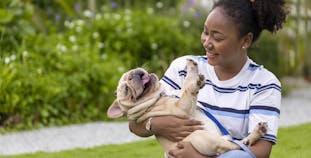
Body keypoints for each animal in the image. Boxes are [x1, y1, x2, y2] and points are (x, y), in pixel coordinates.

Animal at [108, 59, 268, 157]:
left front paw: (192, 68)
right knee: (234, 147)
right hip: (203, 138)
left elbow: (185, 83)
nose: (132, 75)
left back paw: (255, 133)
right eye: (127, 91)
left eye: (130, 73)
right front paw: (194, 82)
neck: (158, 97)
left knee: (240, 144)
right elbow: (187, 88)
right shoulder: (181, 108)